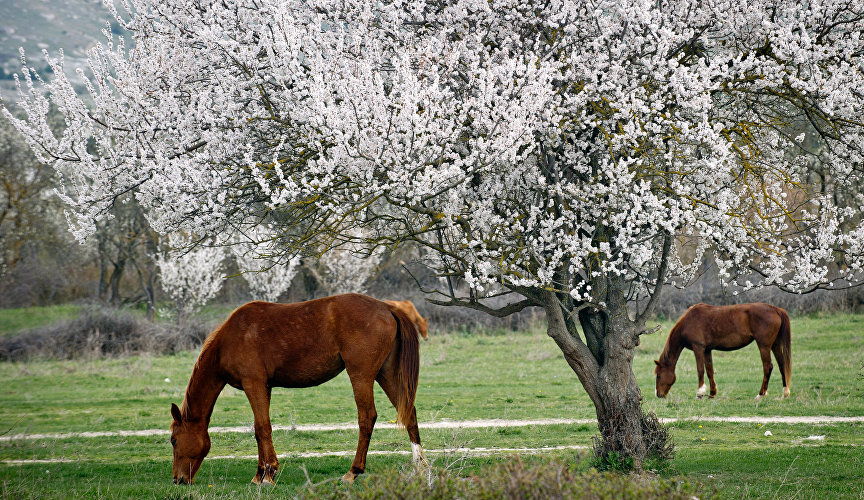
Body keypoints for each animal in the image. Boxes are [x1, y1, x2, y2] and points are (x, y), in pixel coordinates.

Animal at [169, 292, 426, 484]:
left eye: (173, 440)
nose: (178, 479)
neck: (231, 338)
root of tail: (386, 307)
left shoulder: (253, 383)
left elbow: (262, 428)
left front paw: (269, 474)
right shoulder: (264, 387)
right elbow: (259, 429)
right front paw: (260, 474)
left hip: (361, 376)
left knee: (367, 417)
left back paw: (353, 471)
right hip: (387, 374)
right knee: (409, 414)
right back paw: (420, 467)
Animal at [656, 302, 788, 400]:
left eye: (658, 376)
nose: (658, 395)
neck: (688, 321)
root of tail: (775, 309)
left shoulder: (698, 348)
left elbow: (700, 370)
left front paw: (700, 393)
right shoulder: (707, 350)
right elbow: (709, 370)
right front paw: (712, 393)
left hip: (764, 346)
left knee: (768, 367)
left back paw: (761, 394)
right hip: (775, 345)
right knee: (782, 365)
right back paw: (785, 393)